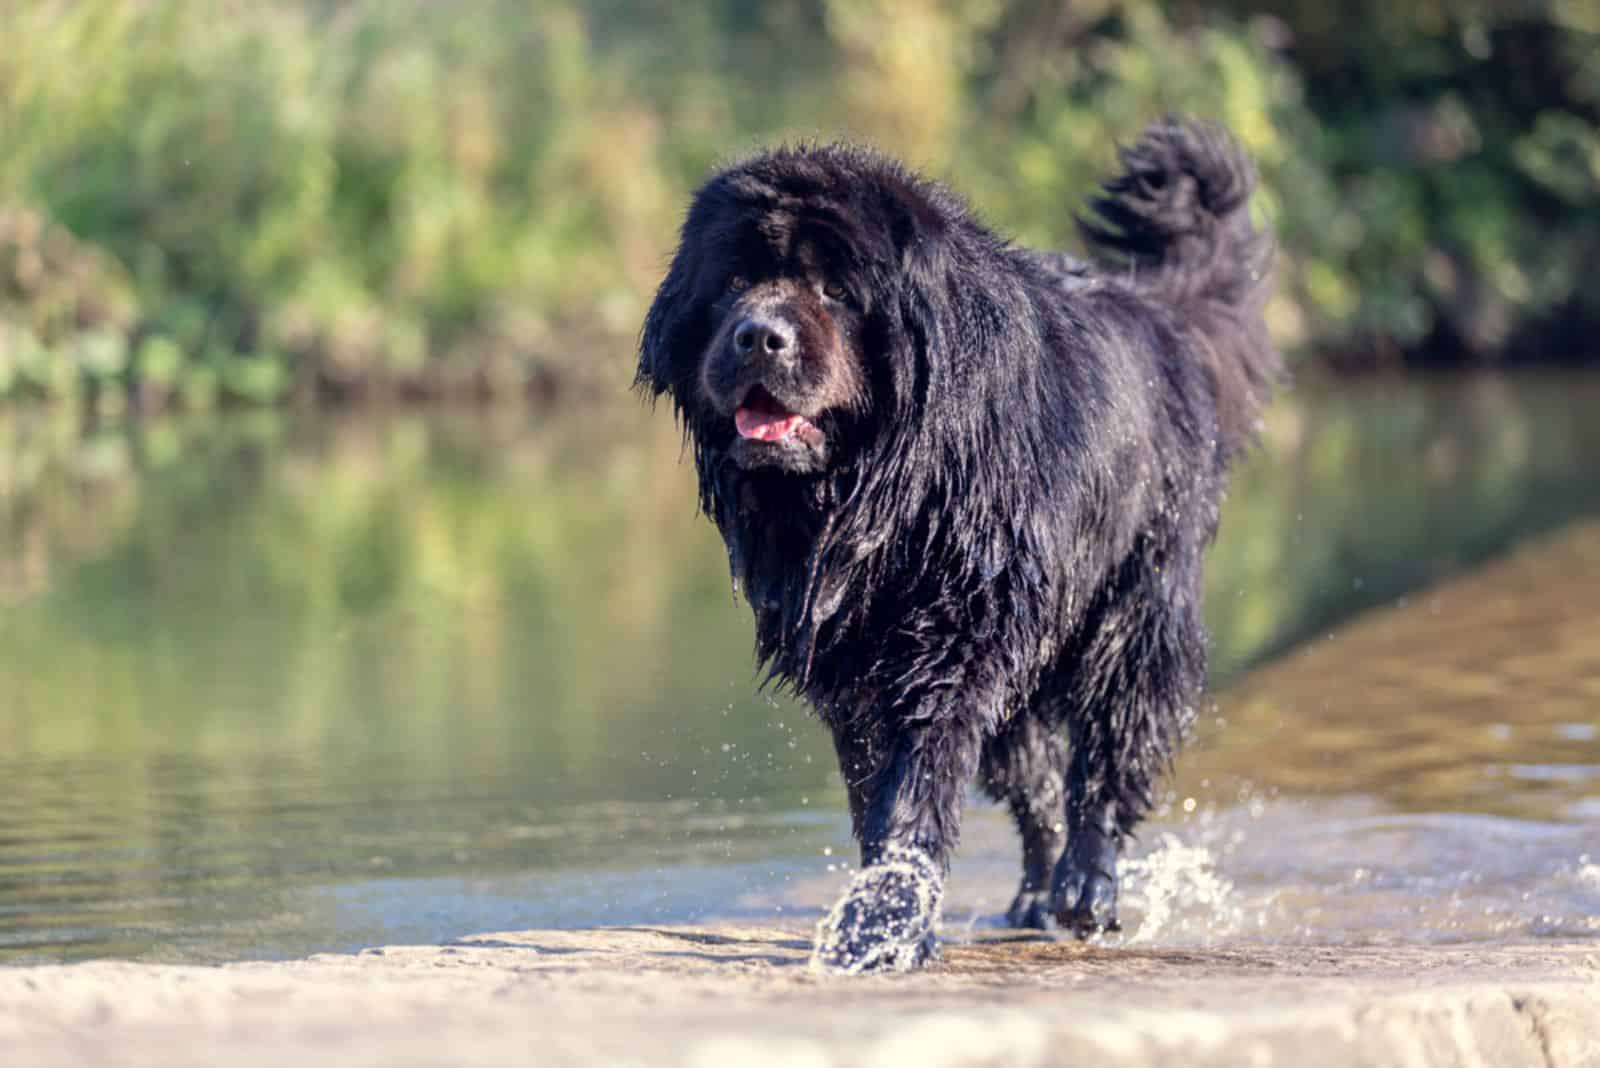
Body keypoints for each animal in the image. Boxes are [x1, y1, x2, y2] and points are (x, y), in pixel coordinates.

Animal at [633, 120, 1273, 972]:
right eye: (735, 278)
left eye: (836, 290)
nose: (758, 336)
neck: (887, 492)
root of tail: (1158, 315)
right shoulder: (856, 666)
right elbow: (880, 791)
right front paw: (890, 909)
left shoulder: (950, 645)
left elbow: (916, 785)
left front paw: (882, 927)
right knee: (1036, 784)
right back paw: (1035, 895)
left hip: (1137, 607)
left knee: (1107, 755)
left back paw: (1086, 887)